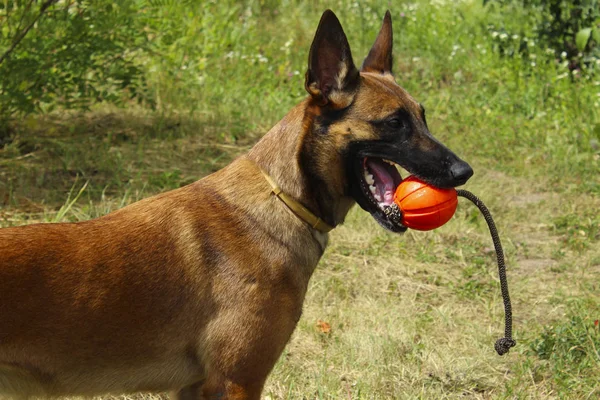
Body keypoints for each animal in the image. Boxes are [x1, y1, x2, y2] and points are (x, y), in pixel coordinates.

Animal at [0, 9, 474, 400]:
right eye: (394, 123)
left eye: (424, 117)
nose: (463, 171)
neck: (281, 201)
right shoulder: (236, 381)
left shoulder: (195, 388)